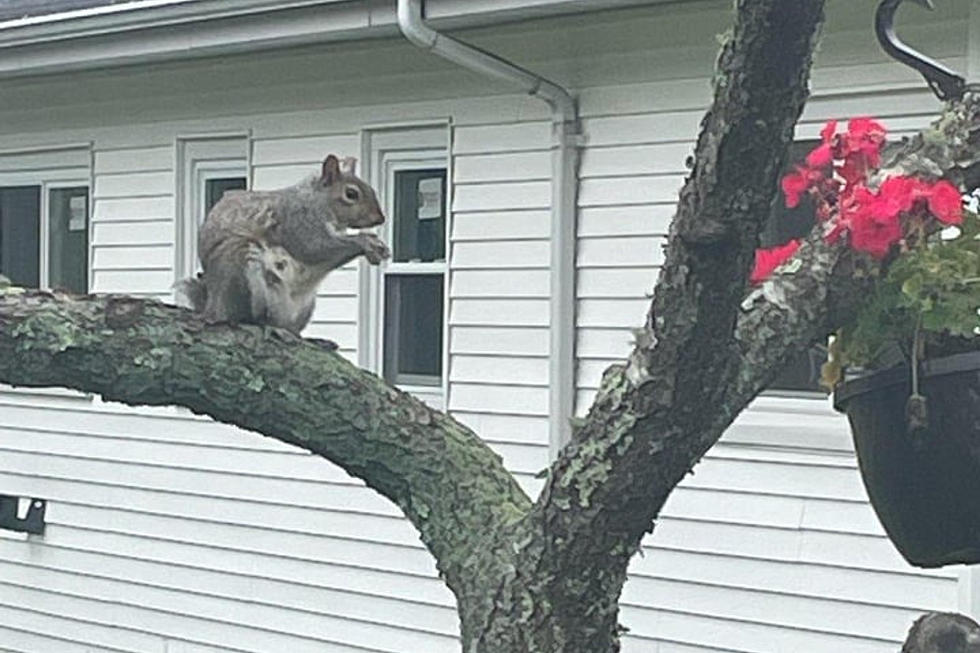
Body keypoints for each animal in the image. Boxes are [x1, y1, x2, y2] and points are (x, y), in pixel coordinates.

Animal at [178, 155, 388, 334]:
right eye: (351, 194)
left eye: (372, 189)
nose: (380, 218)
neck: (316, 200)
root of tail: (213, 304)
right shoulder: (298, 222)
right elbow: (315, 248)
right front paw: (365, 242)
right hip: (240, 264)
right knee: (242, 313)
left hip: (306, 305)